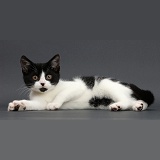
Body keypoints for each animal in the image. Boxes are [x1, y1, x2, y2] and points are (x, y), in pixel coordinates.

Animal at [8, 53, 154, 111]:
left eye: (49, 76)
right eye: (35, 78)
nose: (43, 84)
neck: (47, 93)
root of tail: (129, 84)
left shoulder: (77, 87)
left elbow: (63, 94)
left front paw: (54, 103)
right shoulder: (40, 103)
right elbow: (35, 105)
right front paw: (18, 104)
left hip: (108, 85)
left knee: (127, 99)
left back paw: (118, 106)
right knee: (137, 100)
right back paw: (139, 106)